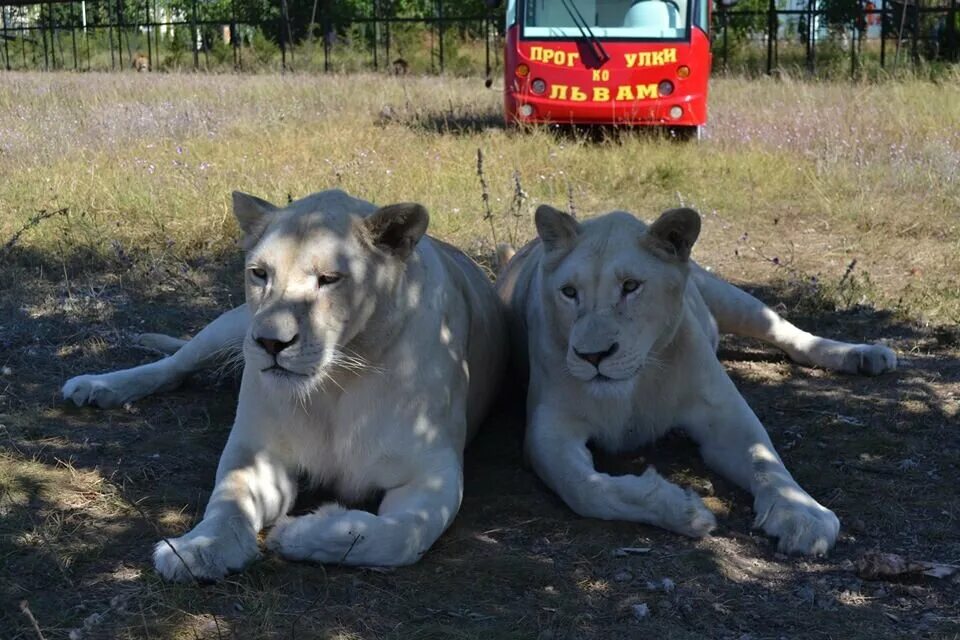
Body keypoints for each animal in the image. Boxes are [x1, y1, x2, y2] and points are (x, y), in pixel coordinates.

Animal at [61, 190, 510, 580]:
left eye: (329, 279)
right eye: (260, 273)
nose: (271, 343)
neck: (338, 380)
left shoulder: (431, 473)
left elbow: (398, 537)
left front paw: (301, 532)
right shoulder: (260, 451)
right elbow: (228, 501)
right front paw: (199, 549)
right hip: (232, 326)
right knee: (174, 365)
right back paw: (97, 387)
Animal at [498, 206, 896, 556]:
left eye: (631, 286)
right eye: (568, 292)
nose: (592, 357)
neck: (635, 383)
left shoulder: (724, 415)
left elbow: (766, 460)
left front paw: (803, 515)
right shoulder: (549, 431)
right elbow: (585, 487)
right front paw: (684, 509)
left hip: (735, 299)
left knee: (789, 334)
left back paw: (865, 355)